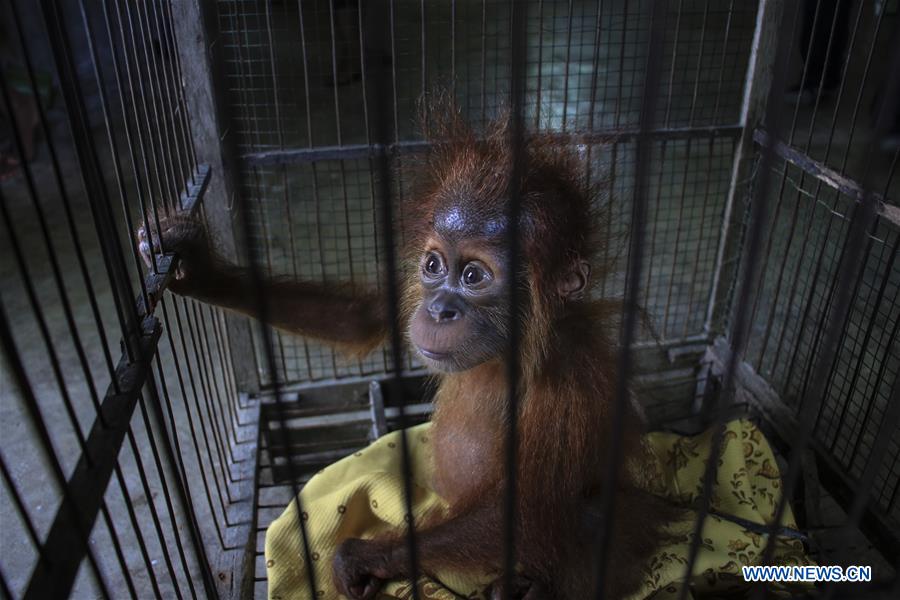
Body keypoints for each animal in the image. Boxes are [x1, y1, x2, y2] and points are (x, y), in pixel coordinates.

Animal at [137, 110, 674, 599]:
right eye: (433, 265)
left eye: (474, 275)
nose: (437, 309)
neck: (507, 354)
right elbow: (364, 317)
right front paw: (194, 267)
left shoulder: (572, 375)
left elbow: (527, 510)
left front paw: (358, 555)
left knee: (588, 517)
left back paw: (528, 589)